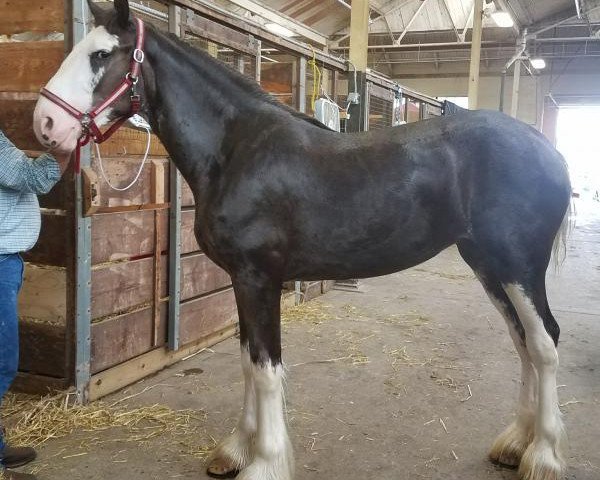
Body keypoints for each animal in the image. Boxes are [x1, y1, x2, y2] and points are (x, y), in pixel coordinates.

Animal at [31, 0, 572, 480]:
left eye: (102, 54)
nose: (45, 124)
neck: (236, 150)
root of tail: (544, 146)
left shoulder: (259, 278)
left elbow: (267, 370)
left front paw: (265, 463)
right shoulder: (242, 282)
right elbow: (248, 362)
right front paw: (235, 450)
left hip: (519, 267)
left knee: (545, 343)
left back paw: (543, 455)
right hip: (488, 265)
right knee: (523, 342)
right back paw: (515, 444)